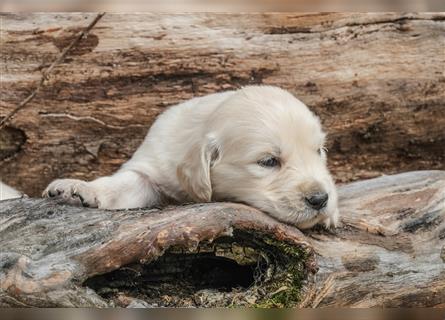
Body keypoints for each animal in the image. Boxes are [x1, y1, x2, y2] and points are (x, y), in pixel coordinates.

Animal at [43, 86, 338, 229]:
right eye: (268, 162)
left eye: (319, 151)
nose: (320, 199)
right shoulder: (153, 164)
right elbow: (122, 185)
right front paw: (78, 188)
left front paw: (332, 212)